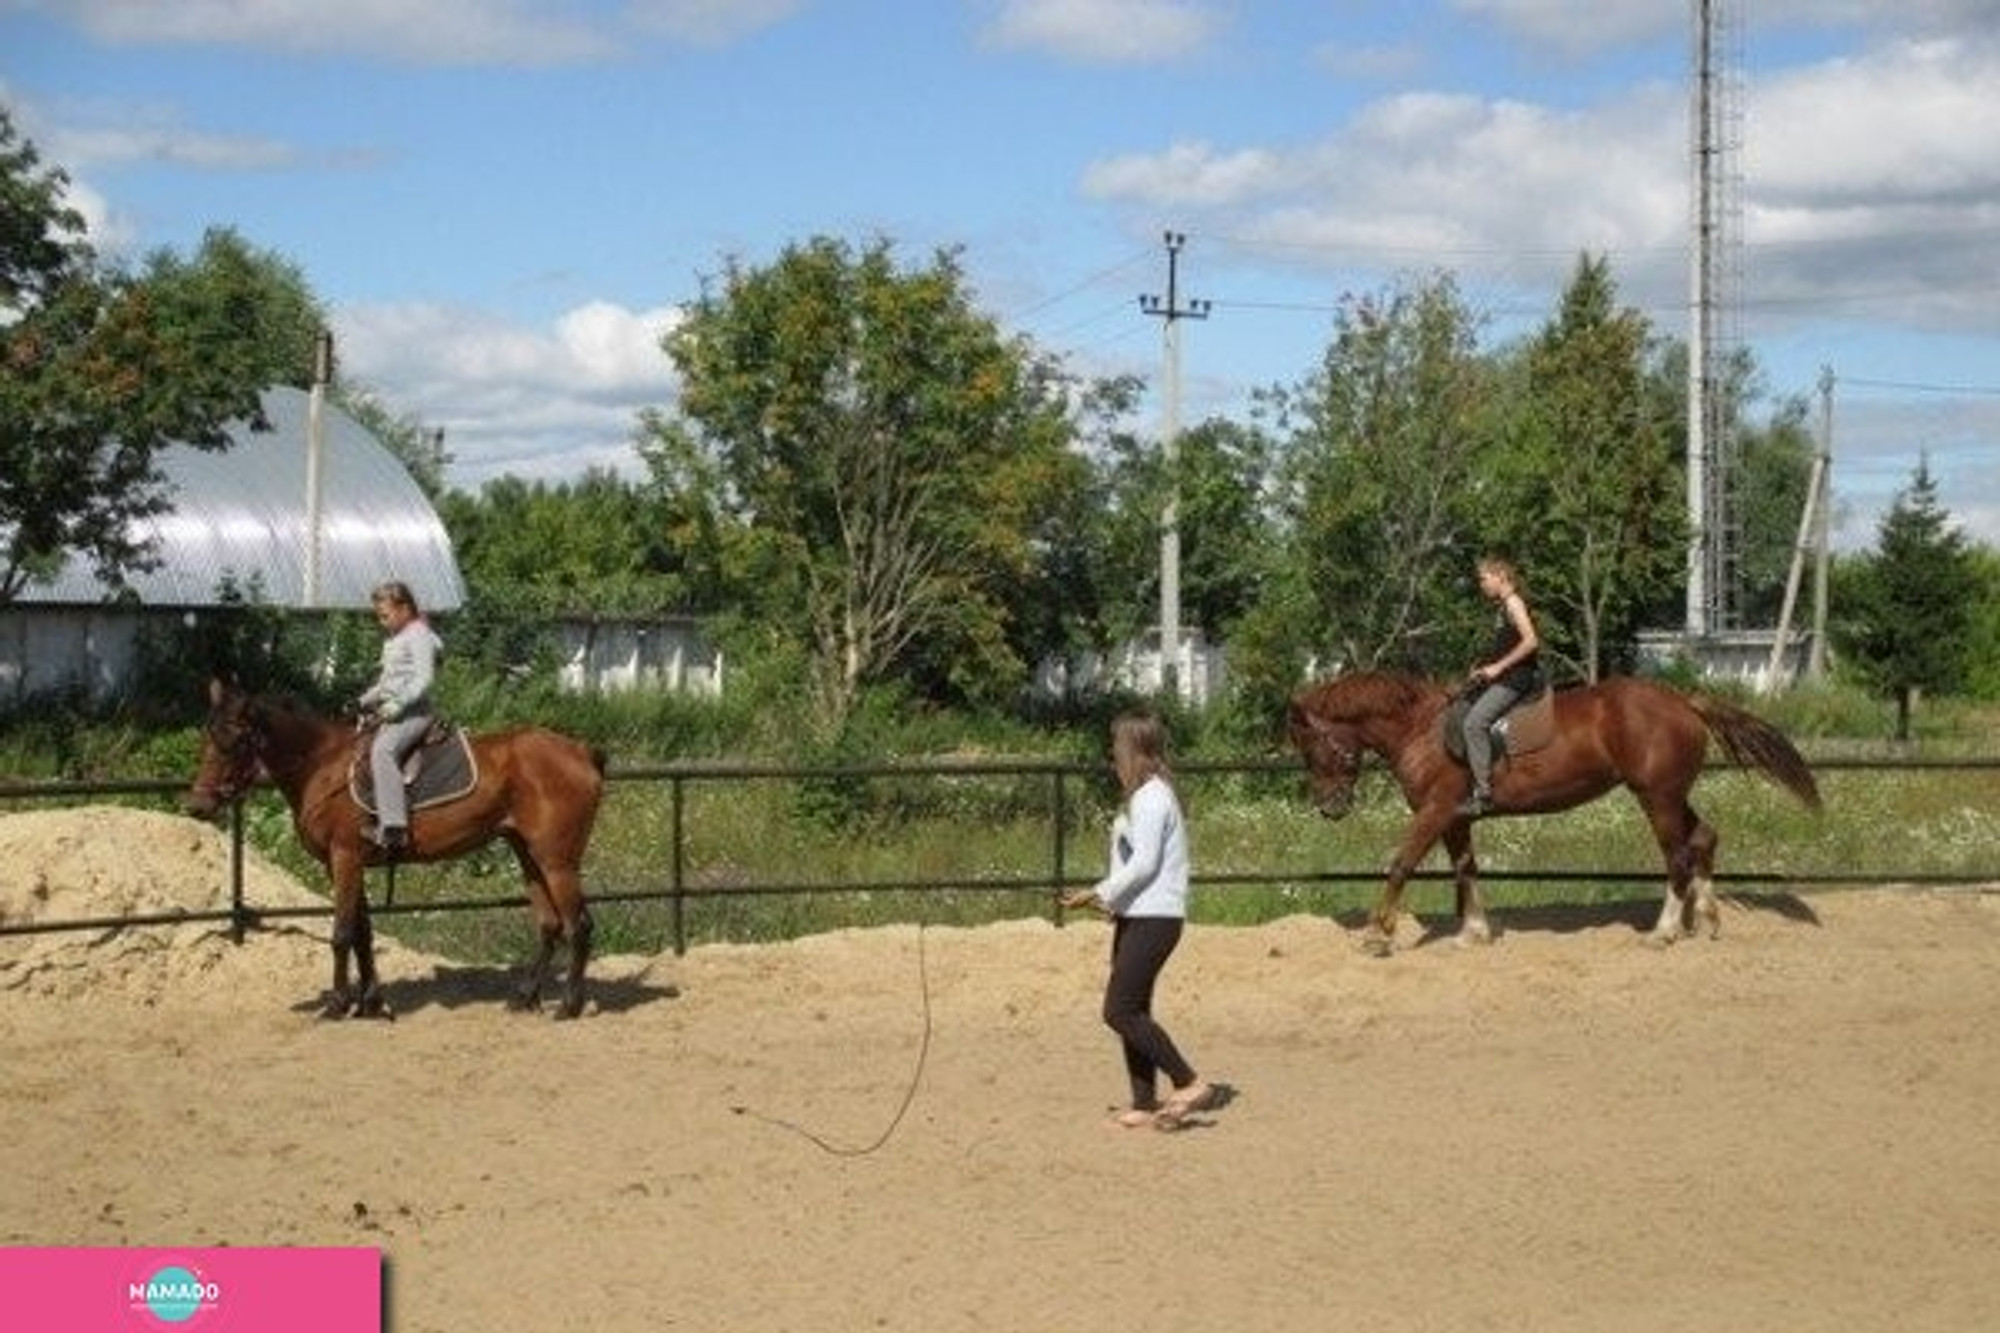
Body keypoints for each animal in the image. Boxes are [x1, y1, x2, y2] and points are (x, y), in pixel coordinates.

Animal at [188, 680, 608, 1012]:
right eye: (206, 737)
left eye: (234, 741)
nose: (197, 805)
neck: (322, 767)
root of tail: (581, 751)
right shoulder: (344, 864)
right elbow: (362, 934)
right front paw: (371, 1002)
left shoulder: (345, 858)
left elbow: (342, 934)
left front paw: (339, 1004)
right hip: (528, 856)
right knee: (550, 925)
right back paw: (526, 997)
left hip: (557, 862)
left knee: (579, 926)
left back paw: (569, 1005)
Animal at [1288, 668, 1824, 948]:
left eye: (1313, 749)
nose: (1329, 808)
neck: (1421, 729)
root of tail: (1684, 701)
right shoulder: (1456, 818)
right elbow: (1466, 870)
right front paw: (1474, 933)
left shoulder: (1435, 811)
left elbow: (1401, 864)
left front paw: (1377, 934)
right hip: (1670, 794)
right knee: (1704, 837)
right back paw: (1706, 919)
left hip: (1656, 797)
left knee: (1677, 856)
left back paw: (1664, 931)